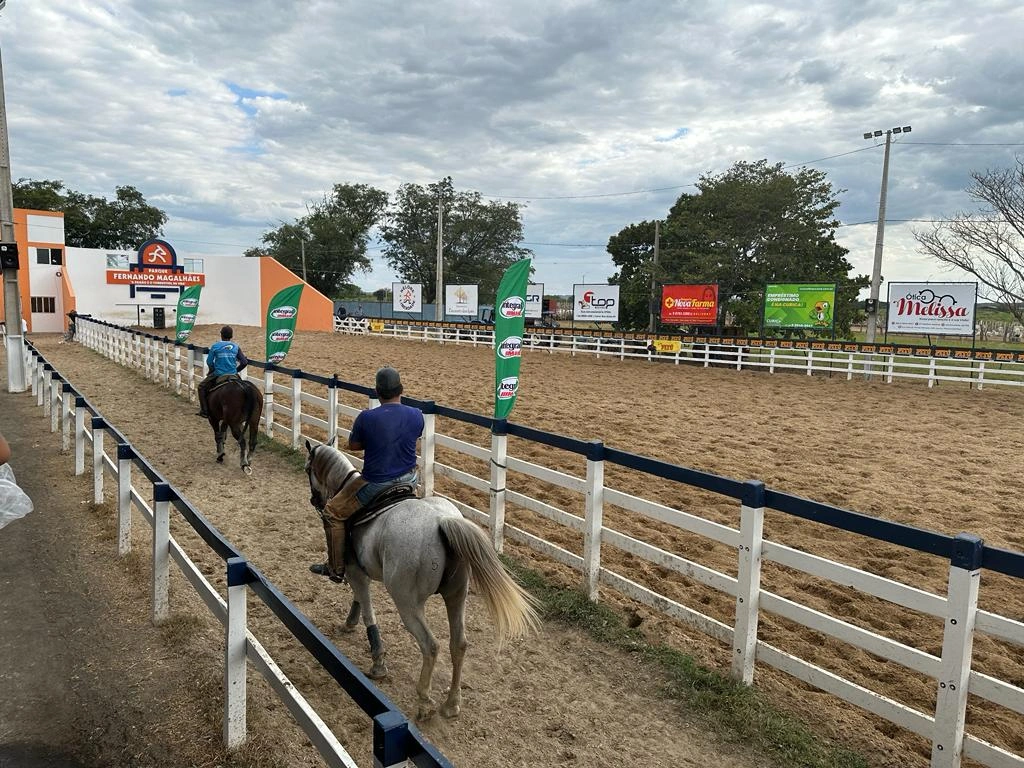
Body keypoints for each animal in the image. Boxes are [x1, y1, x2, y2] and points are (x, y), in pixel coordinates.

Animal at [303, 438, 544, 720]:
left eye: (309, 468)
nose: (314, 499)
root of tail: (442, 521)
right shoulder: (361, 572)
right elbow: (359, 601)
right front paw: (349, 623)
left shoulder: (354, 571)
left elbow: (368, 611)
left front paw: (377, 662)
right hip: (456, 596)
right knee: (458, 644)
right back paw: (451, 703)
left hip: (408, 603)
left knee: (431, 646)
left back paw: (424, 701)